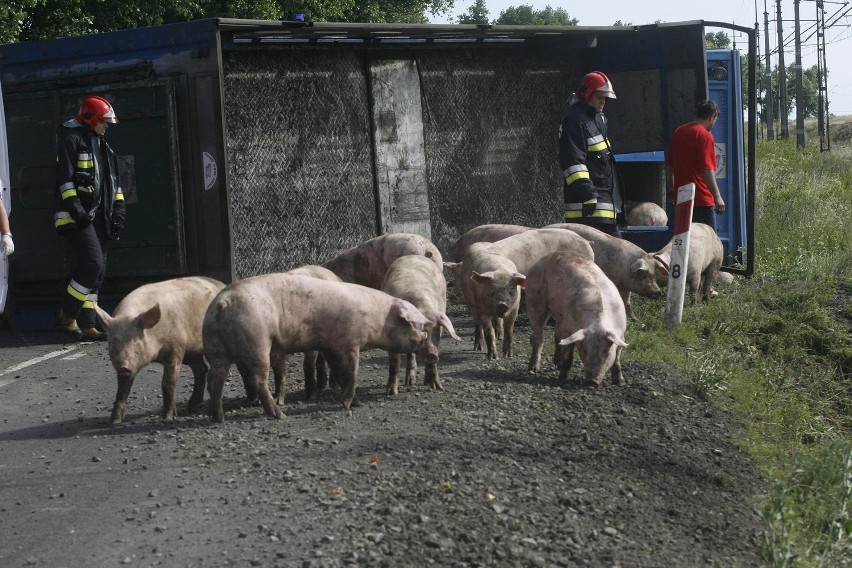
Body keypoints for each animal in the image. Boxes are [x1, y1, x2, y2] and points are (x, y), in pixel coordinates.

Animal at [93, 278, 226, 424]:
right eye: (112, 342)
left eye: (136, 340)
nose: (123, 368)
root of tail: (221, 284)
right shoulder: (131, 365)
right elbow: (122, 390)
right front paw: (114, 421)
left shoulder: (175, 350)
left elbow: (167, 384)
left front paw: (167, 418)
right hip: (192, 353)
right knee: (201, 369)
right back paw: (191, 408)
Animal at [201, 276, 432, 422]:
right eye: (411, 324)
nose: (425, 341)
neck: (377, 318)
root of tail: (223, 303)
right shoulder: (350, 343)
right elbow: (352, 374)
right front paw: (345, 405)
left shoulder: (331, 347)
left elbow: (341, 374)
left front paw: (356, 404)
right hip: (257, 341)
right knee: (258, 379)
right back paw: (280, 415)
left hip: (215, 348)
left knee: (215, 380)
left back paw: (218, 418)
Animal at [380, 254, 460, 394]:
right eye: (423, 333)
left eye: (437, 332)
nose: (433, 355)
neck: (423, 308)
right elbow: (394, 363)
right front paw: (391, 392)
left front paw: (437, 387)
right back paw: (409, 382)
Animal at [524, 253, 628, 386]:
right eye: (584, 350)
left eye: (606, 352)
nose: (591, 381)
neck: (597, 323)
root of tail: (546, 257)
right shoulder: (569, 329)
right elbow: (568, 357)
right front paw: (562, 379)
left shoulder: (621, 335)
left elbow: (617, 359)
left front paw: (620, 383)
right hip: (535, 298)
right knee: (538, 336)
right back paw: (533, 370)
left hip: (559, 314)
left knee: (556, 336)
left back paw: (557, 364)